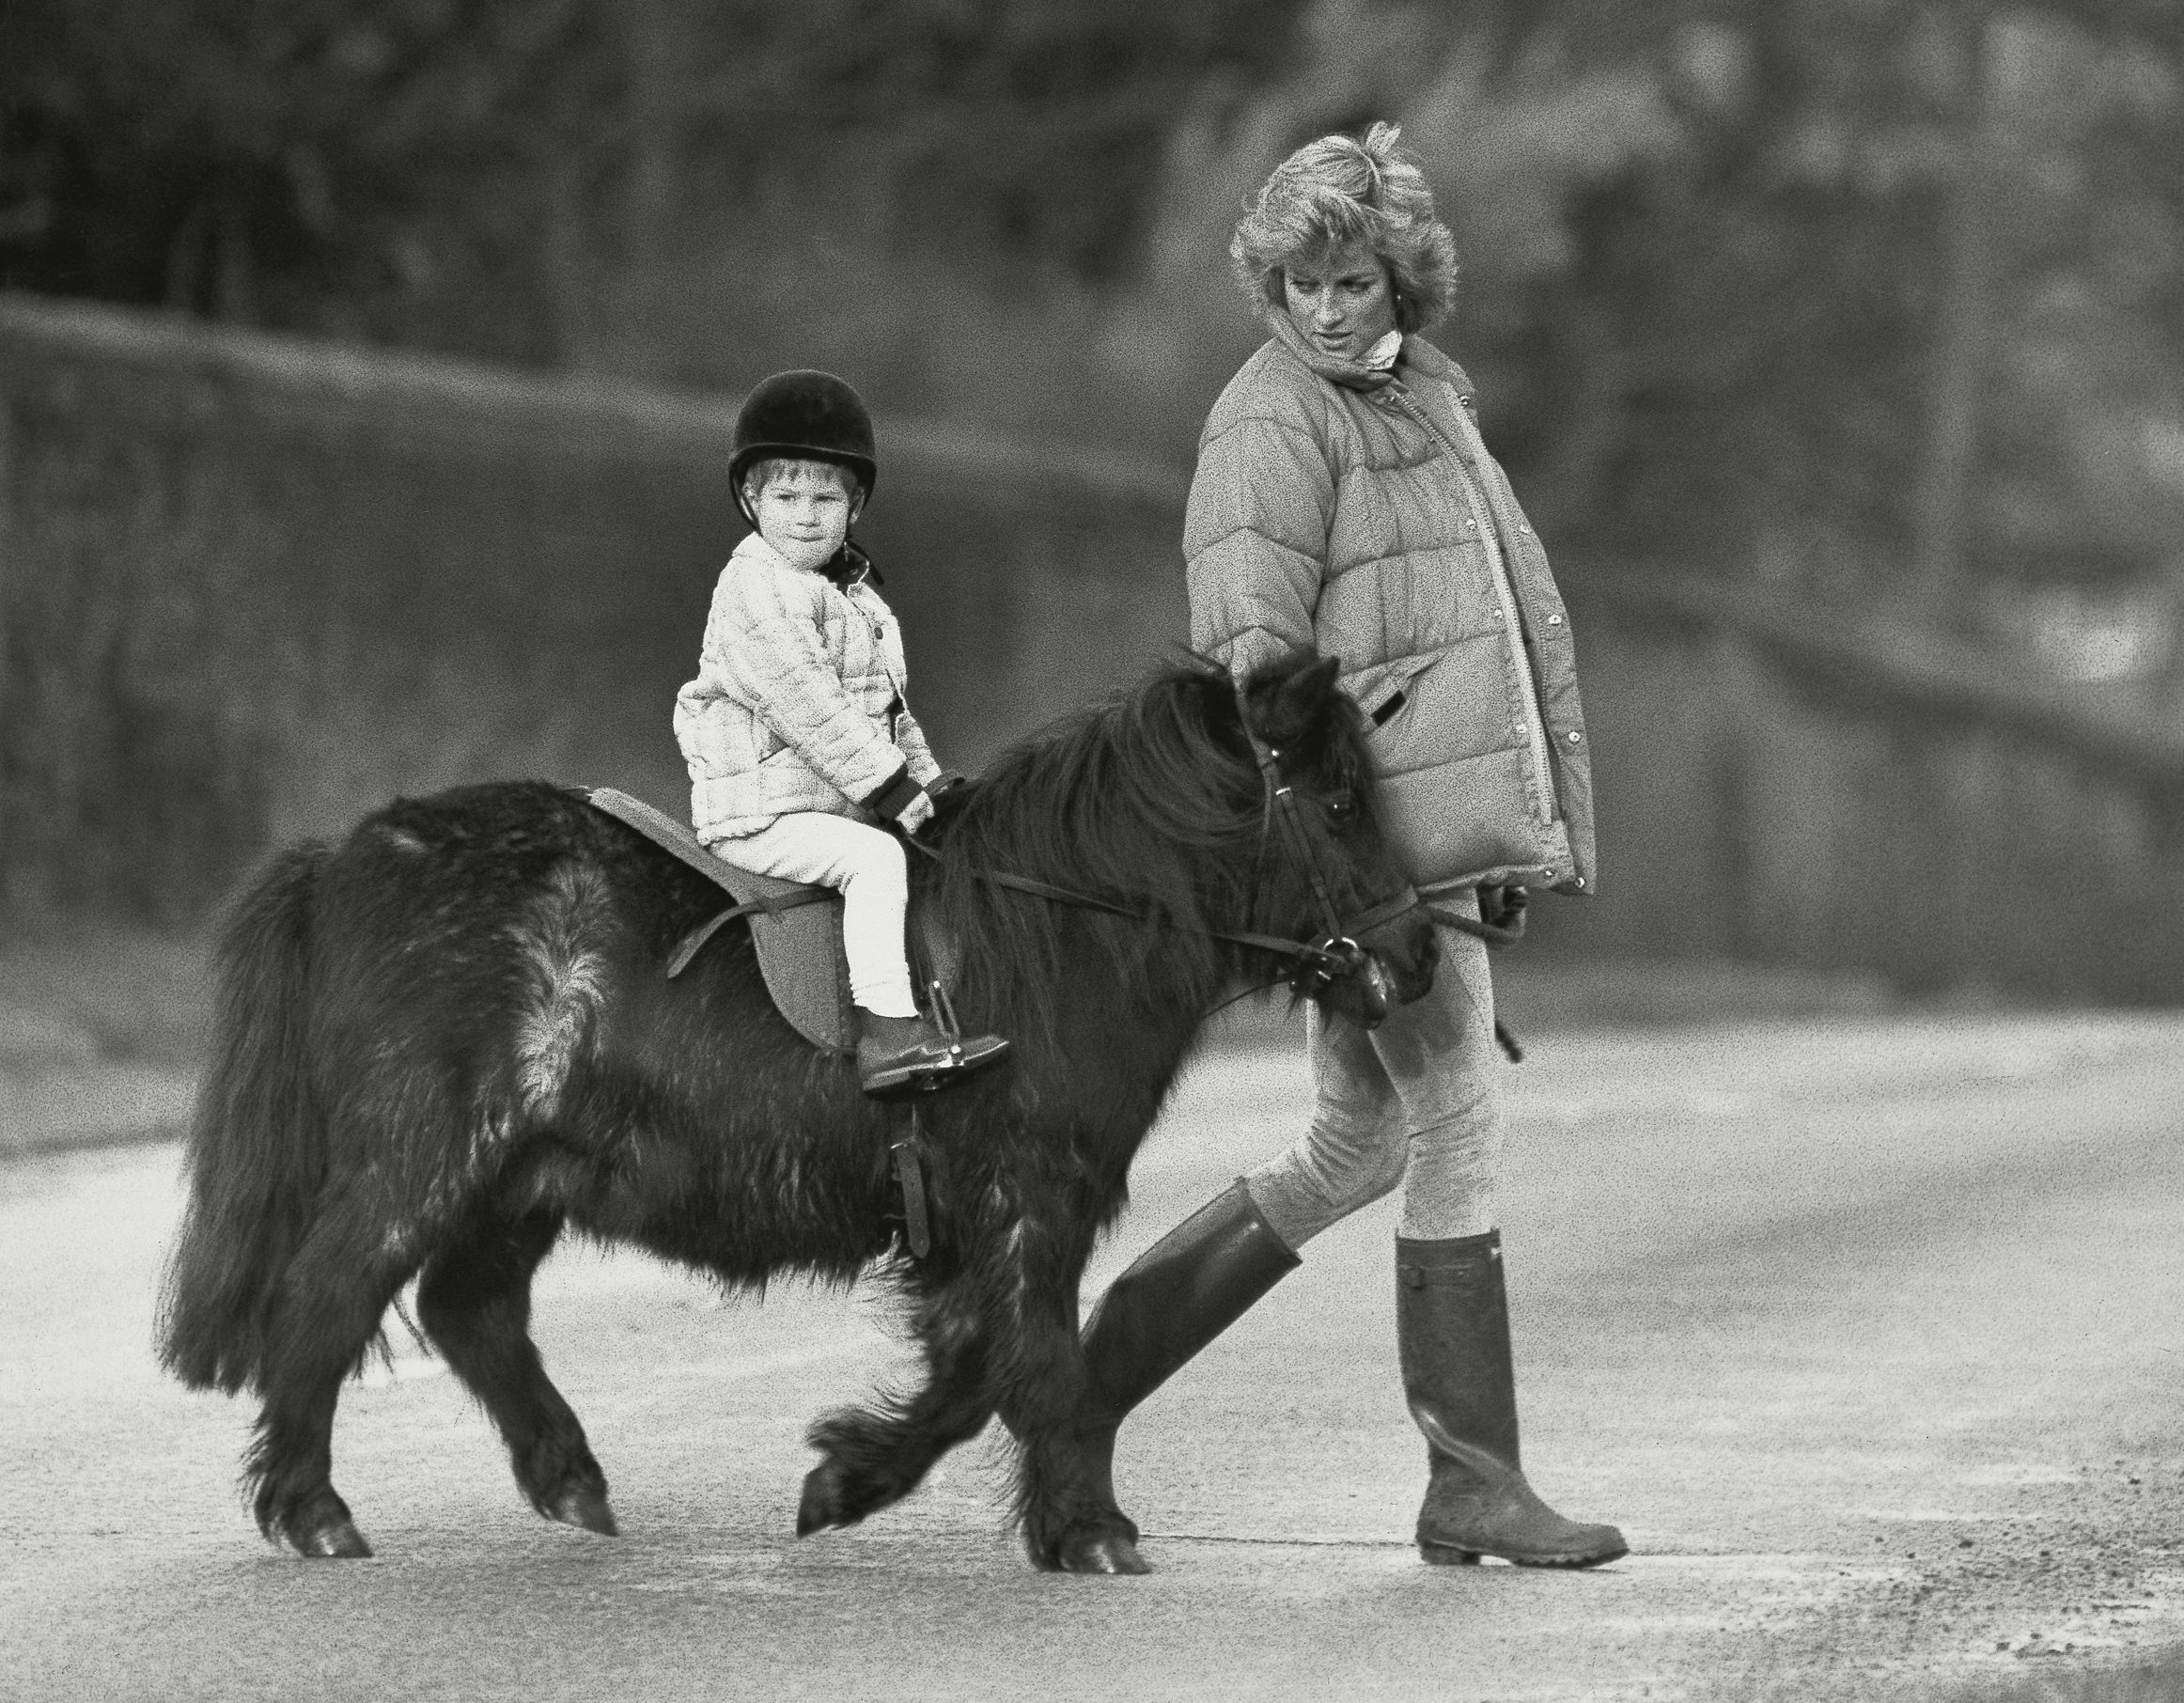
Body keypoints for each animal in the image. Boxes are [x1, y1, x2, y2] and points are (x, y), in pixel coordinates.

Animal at [156, 650, 1438, 1574]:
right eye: (1335, 800)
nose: (1418, 957)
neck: (1054, 931)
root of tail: (342, 856)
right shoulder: (1026, 1196)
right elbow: (1033, 1361)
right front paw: (1087, 1532)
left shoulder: (969, 1220)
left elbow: (976, 1370)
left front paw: (846, 1481)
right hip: (422, 1151)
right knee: (328, 1296)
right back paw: (313, 1511)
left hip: (524, 1172)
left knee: (467, 1307)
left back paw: (568, 1479)